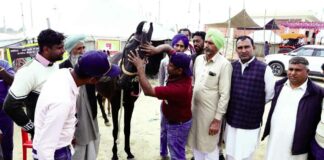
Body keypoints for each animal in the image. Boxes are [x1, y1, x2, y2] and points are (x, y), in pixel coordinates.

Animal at [96, 21, 153, 160]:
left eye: (146, 54)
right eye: (127, 48)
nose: (123, 82)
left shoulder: (129, 105)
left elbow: (127, 129)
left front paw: (128, 152)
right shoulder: (116, 104)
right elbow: (116, 130)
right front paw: (114, 154)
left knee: (100, 99)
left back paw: (106, 119)